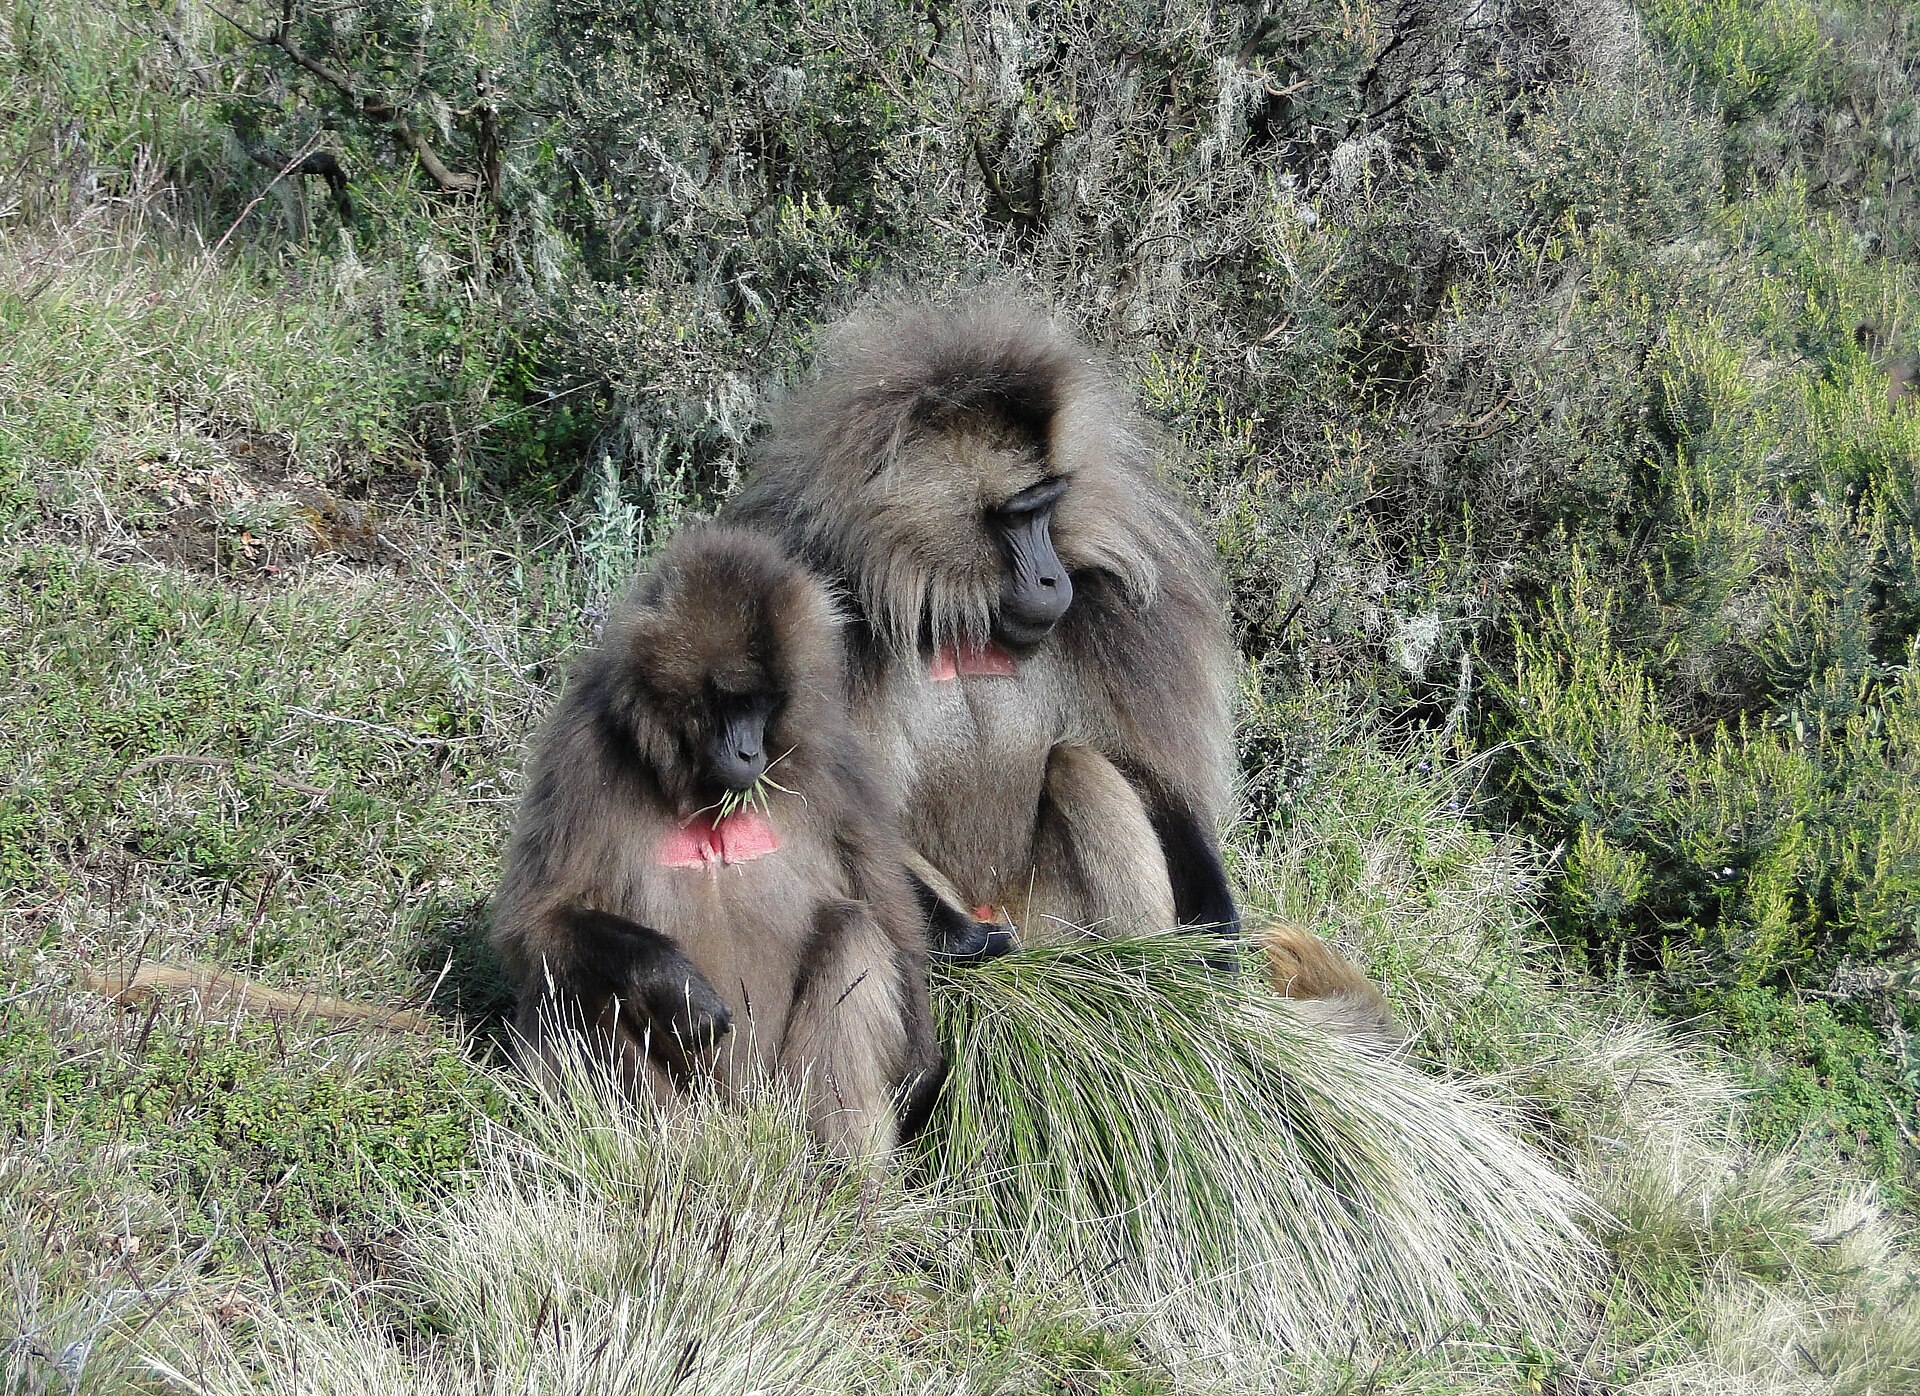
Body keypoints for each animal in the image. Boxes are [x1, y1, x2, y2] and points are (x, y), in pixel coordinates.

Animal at [489, 524, 947, 1158]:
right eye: (732, 701)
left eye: (765, 704)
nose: (750, 753)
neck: (698, 789)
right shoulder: (582, 749)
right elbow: (536, 925)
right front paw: (674, 982)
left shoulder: (832, 756)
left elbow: (888, 909)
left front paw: (922, 1063)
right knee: (577, 972)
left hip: (780, 1092)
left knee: (853, 932)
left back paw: (842, 1171)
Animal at [721, 298, 1398, 1051]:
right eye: (1018, 516)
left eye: (1049, 505)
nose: (1051, 579)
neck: (950, 612)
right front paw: (960, 945)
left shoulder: (1105, 614)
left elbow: (1148, 776)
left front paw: (1215, 942)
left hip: (1058, 924)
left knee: (1080, 764)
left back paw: (1147, 979)